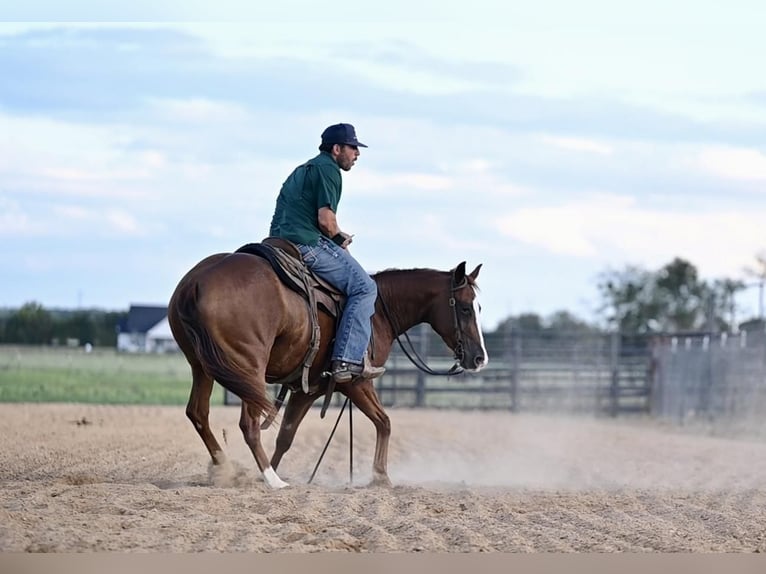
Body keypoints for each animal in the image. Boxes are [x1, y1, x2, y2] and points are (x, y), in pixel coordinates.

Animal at [170, 252, 488, 490]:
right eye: (464, 308)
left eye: (479, 307)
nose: (479, 358)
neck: (378, 312)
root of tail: (196, 284)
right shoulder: (356, 382)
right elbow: (384, 422)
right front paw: (380, 477)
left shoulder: (306, 389)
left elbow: (286, 436)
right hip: (250, 368)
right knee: (248, 425)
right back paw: (273, 481)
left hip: (201, 366)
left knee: (198, 413)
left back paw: (229, 469)